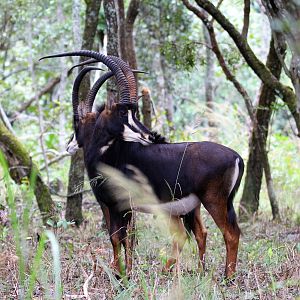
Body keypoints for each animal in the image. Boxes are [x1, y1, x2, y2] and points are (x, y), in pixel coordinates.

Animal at [40, 50, 244, 278]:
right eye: (123, 112)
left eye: (76, 122)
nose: (150, 135)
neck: (109, 153)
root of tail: (236, 156)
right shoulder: (124, 207)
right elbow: (127, 238)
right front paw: (125, 271)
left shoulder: (114, 205)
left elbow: (116, 237)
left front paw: (119, 274)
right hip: (195, 205)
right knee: (202, 233)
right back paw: (199, 271)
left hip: (214, 201)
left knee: (230, 233)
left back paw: (227, 277)